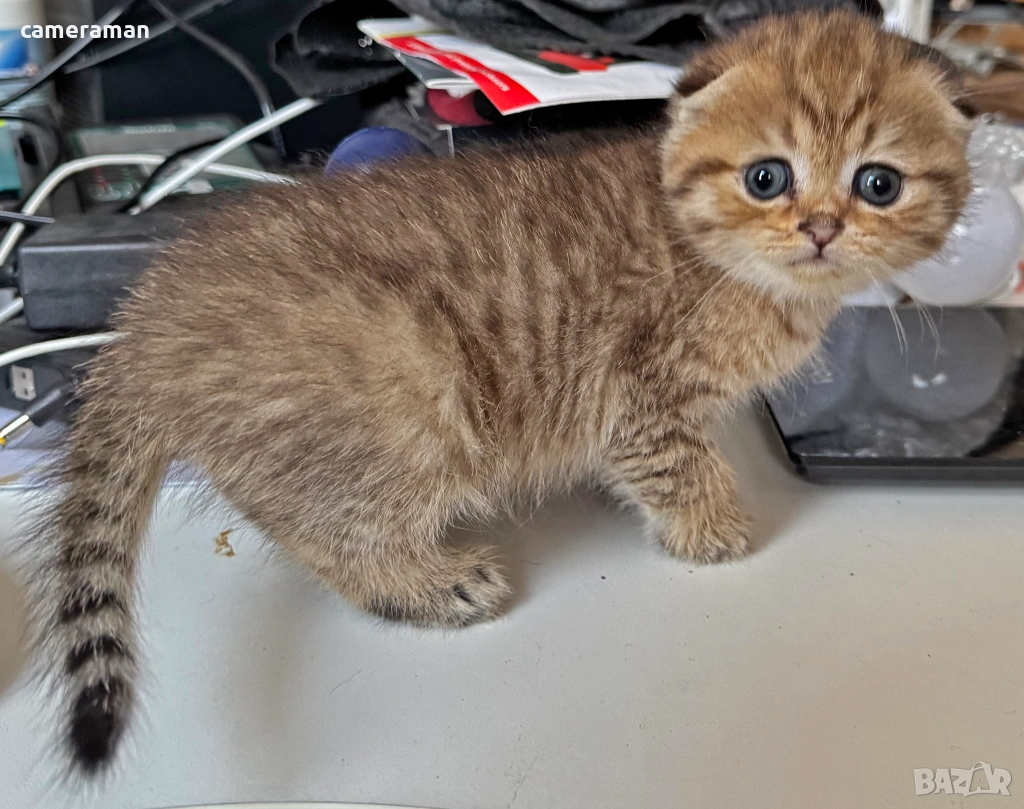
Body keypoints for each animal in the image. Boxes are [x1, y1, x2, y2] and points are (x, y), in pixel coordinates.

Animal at [30, 9, 971, 776]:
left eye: (878, 183)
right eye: (767, 177)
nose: (822, 229)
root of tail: (149, 324)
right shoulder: (639, 394)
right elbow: (675, 464)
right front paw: (712, 526)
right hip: (409, 391)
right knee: (326, 529)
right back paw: (428, 582)